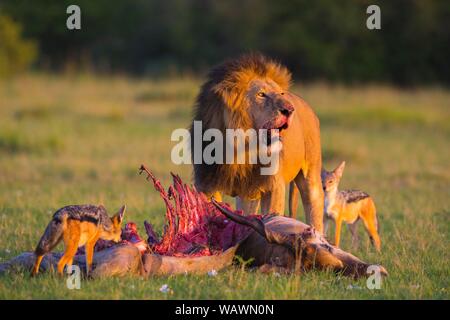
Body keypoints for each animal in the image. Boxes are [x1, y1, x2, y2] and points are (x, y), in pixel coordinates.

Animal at [189, 53, 324, 232]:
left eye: (281, 93)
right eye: (261, 94)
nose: (289, 110)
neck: (242, 146)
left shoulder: (273, 185)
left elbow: (273, 218)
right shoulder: (207, 184)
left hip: (311, 175)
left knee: (314, 205)